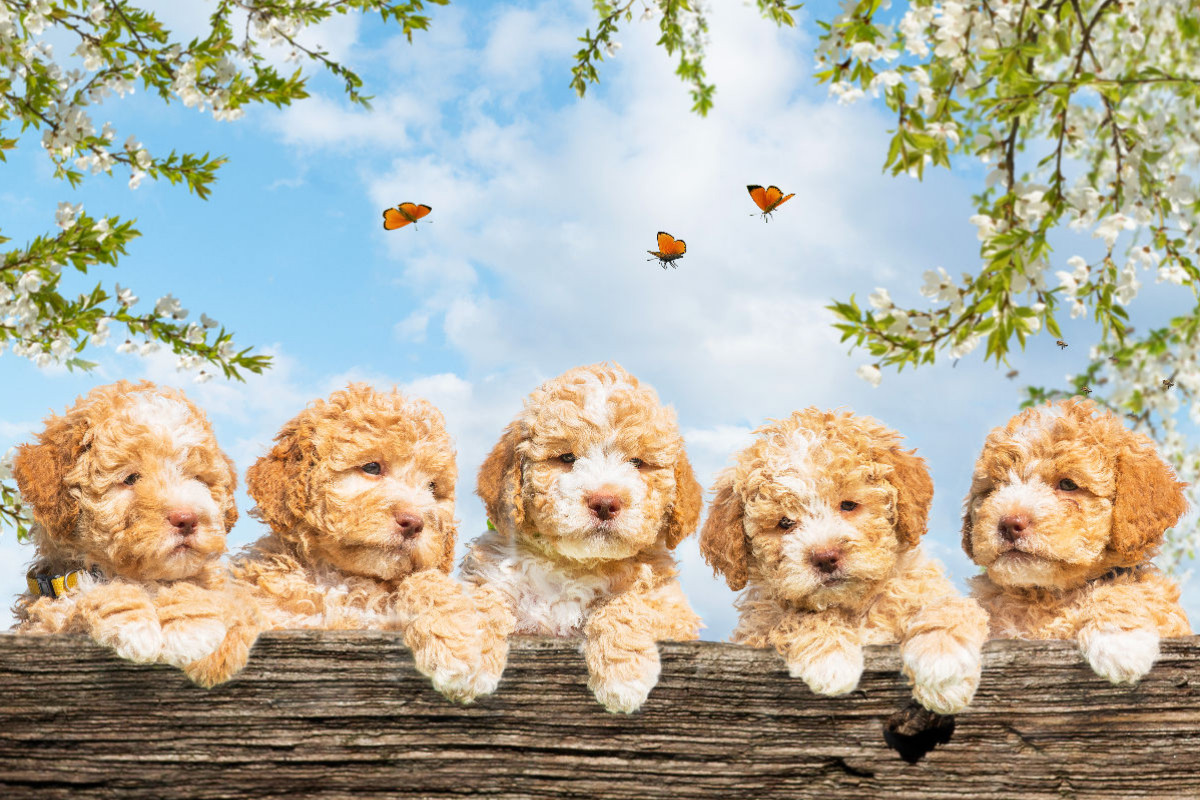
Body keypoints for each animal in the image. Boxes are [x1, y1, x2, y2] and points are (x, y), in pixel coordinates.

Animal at [12, 381, 261, 690]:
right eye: (130, 478)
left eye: (197, 479)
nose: (187, 519)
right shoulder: (46, 615)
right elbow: (91, 593)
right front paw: (134, 624)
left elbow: (202, 592)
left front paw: (194, 627)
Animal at [458, 362, 700, 714]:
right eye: (566, 458)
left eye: (637, 463)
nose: (605, 501)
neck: (576, 564)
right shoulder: (492, 579)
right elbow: (478, 604)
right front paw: (465, 661)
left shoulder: (671, 607)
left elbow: (627, 604)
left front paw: (623, 678)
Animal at [700, 410, 988, 714]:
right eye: (785, 523)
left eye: (848, 505)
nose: (825, 557)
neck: (854, 607)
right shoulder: (756, 631)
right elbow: (797, 617)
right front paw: (830, 660)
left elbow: (949, 606)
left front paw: (943, 664)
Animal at [964, 398, 1190, 686]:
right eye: (994, 488)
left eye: (1068, 484)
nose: (1009, 524)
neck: (1046, 595)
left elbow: (1128, 588)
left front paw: (1121, 642)